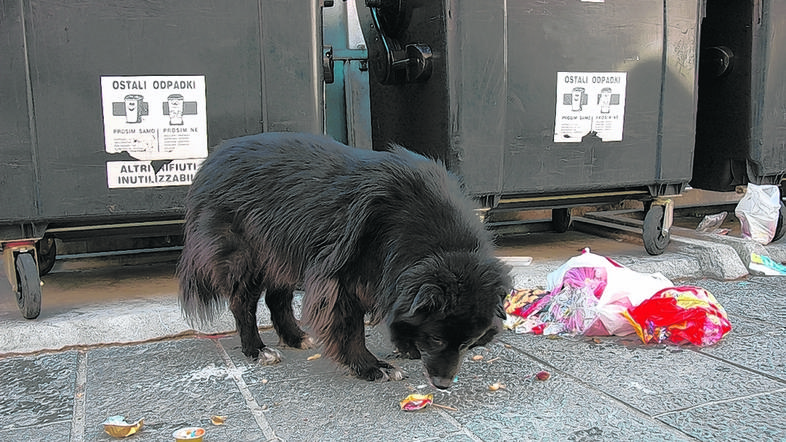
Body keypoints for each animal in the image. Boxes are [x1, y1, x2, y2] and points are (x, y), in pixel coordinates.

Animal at [176, 133, 508, 388]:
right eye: (437, 339)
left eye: (467, 344)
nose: (442, 385)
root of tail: (210, 160)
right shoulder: (341, 278)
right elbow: (351, 328)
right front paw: (372, 367)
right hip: (248, 256)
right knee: (242, 303)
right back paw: (257, 349)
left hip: (286, 250)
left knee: (276, 298)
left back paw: (296, 337)